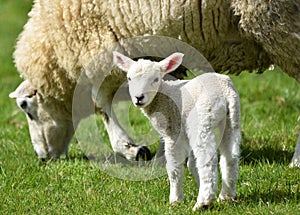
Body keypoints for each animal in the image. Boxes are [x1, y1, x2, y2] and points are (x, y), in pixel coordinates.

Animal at [9, 0, 300, 166]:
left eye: (26, 107)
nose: (42, 158)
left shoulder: (98, 46)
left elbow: (101, 103)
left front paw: (129, 149)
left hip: (277, 19)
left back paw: (296, 161)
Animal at [113, 50, 243, 210]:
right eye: (129, 78)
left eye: (155, 79)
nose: (139, 97)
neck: (162, 97)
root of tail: (226, 92)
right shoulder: (185, 131)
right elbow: (192, 164)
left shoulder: (173, 131)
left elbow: (174, 167)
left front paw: (176, 199)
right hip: (232, 119)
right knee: (230, 157)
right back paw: (226, 196)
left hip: (202, 119)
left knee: (207, 159)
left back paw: (203, 202)